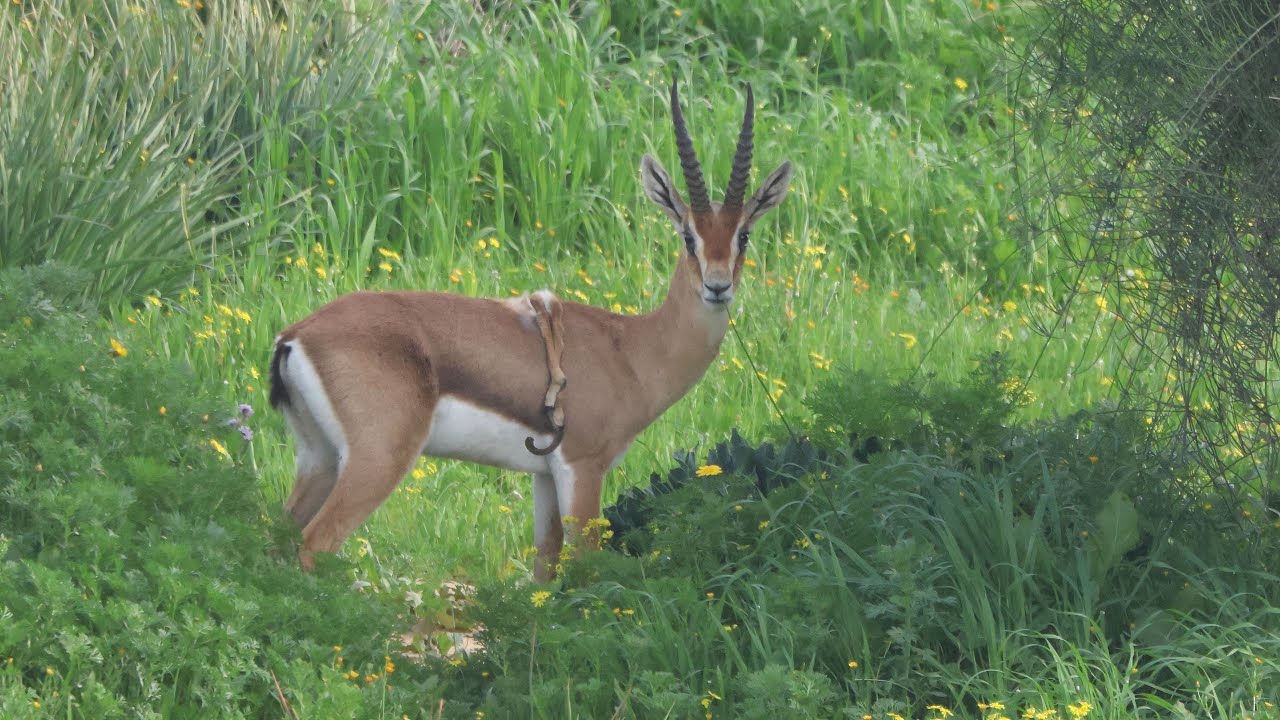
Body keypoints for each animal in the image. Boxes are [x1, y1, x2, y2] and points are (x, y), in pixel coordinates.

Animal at [268, 80, 792, 580]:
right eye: (688, 236)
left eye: (743, 235)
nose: (717, 286)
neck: (631, 350)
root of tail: (296, 335)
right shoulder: (583, 466)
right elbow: (584, 564)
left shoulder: (543, 475)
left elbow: (543, 569)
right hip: (376, 460)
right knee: (315, 544)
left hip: (317, 459)